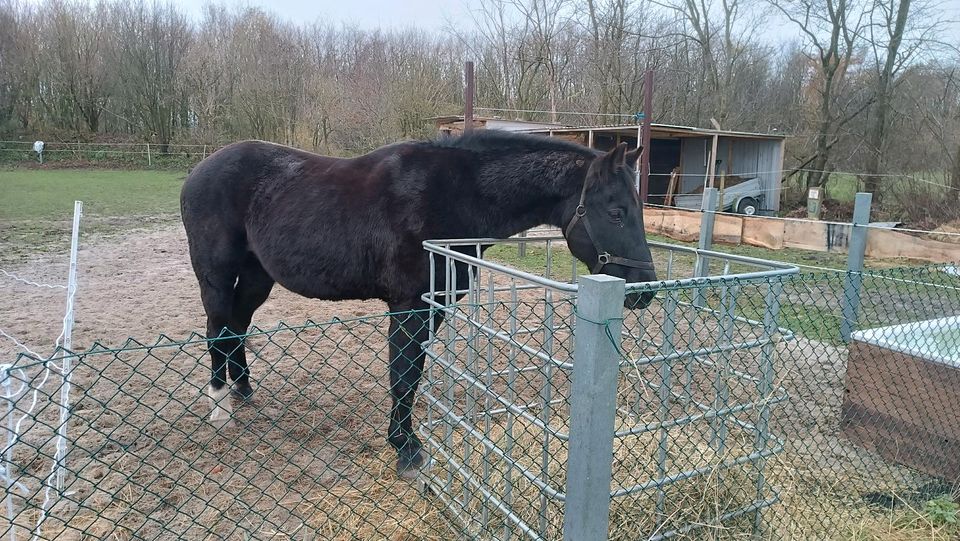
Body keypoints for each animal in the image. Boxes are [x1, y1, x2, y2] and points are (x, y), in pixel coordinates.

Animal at [178, 130, 660, 476]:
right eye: (616, 212)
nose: (645, 290)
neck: (455, 195)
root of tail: (200, 169)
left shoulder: (434, 305)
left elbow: (411, 373)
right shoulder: (410, 305)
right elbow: (405, 374)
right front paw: (406, 449)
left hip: (257, 275)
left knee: (237, 324)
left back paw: (242, 390)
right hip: (215, 273)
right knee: (217, 326)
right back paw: (219, 405)